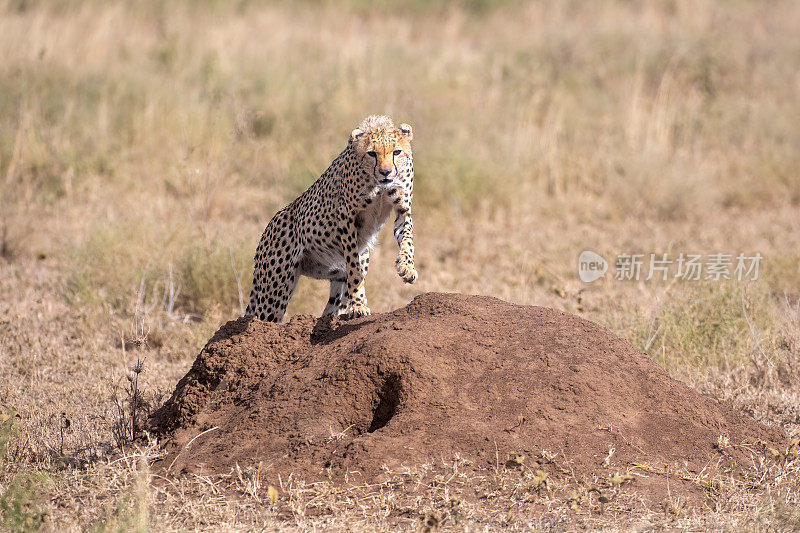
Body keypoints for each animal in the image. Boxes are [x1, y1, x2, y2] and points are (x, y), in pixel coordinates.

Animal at [244, 115, 418, 320]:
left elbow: (407, 241)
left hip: (343, 269)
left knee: (331, 308)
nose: (385, 172)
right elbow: (354, 270)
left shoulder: (402, 209)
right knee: (264, 317)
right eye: (372, 153)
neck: (379, 184)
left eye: (397, 152)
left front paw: (407, 268)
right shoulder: (346, 215)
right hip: (275, 289)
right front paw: (358, 306)